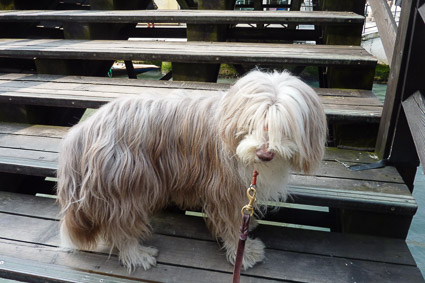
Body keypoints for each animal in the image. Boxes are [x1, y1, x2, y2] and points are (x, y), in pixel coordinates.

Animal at [56, 70, 326, 272]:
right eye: (252, 123)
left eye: (284, 126)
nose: (265, 153)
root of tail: (83, 131)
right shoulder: (223, 191)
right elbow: (230, 225)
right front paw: (245, 253)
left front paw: (250, 225)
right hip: (124, 190)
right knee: (120, 229)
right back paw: (138, 255)